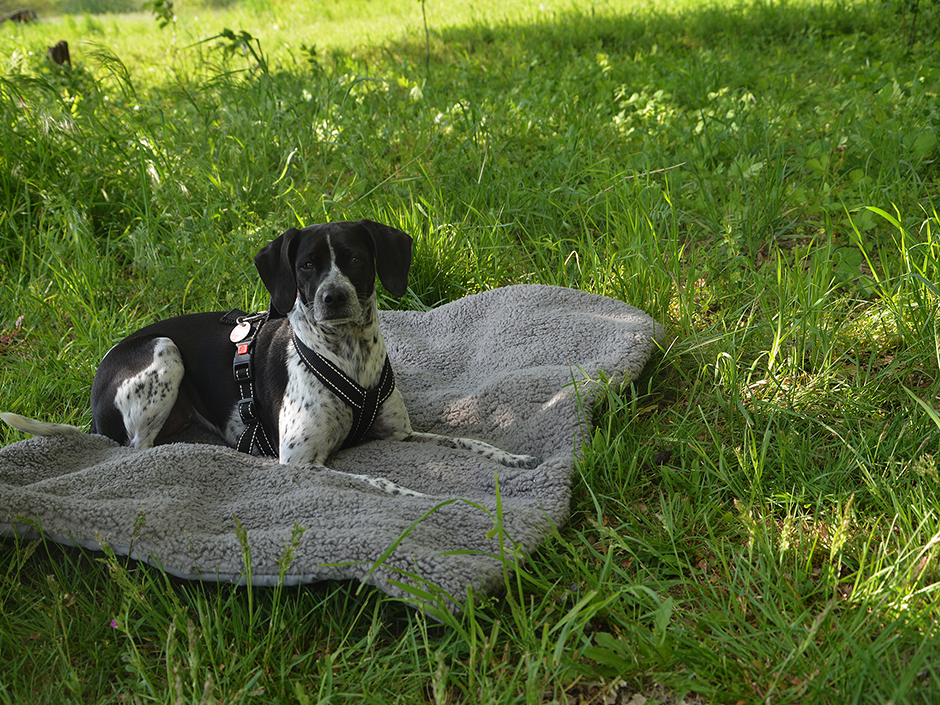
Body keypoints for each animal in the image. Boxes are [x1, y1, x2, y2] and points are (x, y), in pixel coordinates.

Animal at [0, 220, 540, 468]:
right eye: (306, 266)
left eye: (356, 259)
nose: (333, 297)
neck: (349, 356)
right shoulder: (302, 461)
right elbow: (385, 483)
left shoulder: (400, 435)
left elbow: (467, 441)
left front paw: (511, 459)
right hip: (163, 353)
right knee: (137, 449)